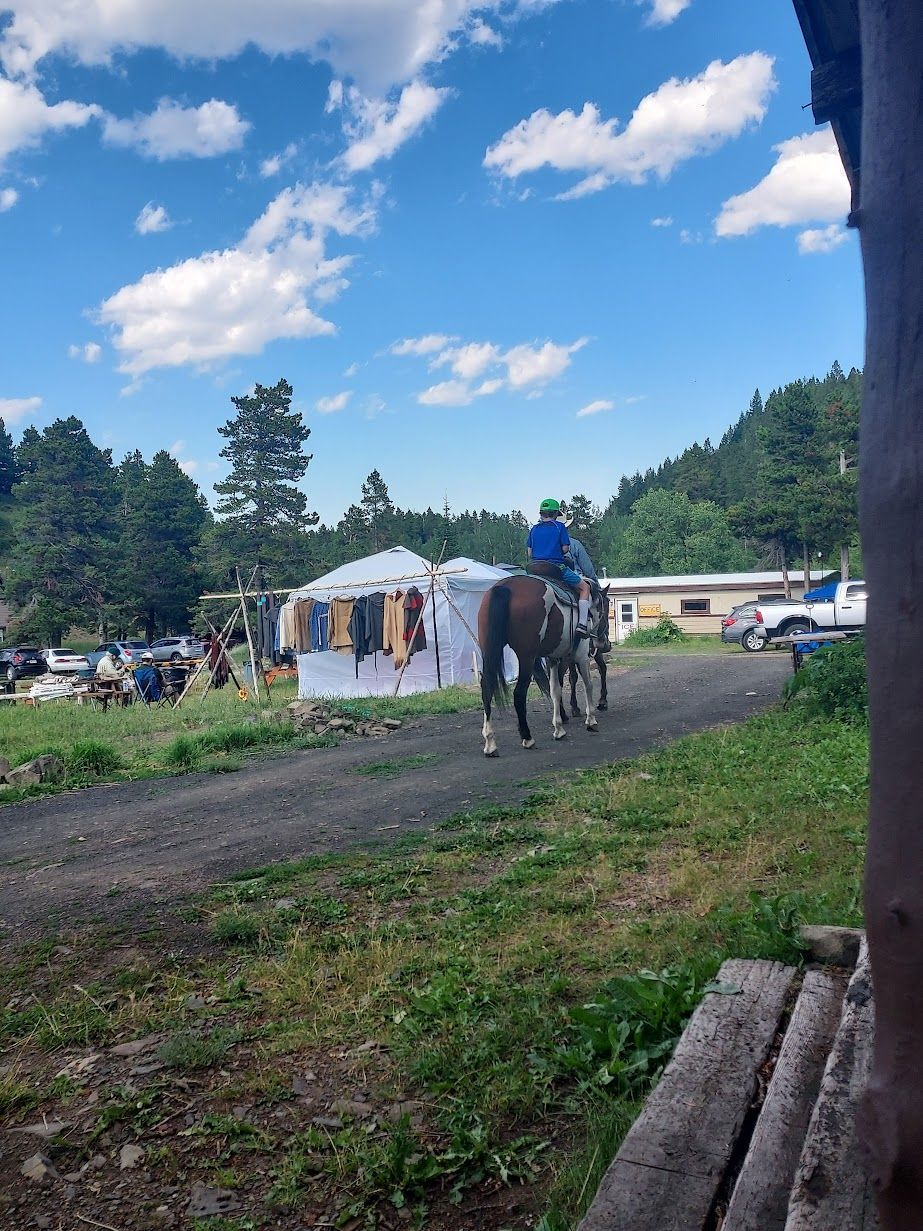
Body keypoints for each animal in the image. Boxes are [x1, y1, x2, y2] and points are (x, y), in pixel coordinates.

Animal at [477, 566, 602, 756]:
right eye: (605, 604)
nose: (602, 641)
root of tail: (505, 587)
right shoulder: (581, 655)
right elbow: (588, 684)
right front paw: (591, 719)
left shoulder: (553, 658)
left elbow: (555, 690)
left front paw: (558, 728)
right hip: (526, 657)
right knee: (519, 693)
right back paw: (527, 738)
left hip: (488, 652)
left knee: (487, 689)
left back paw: (490, 743)